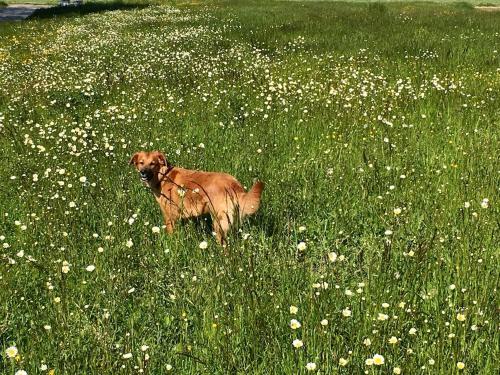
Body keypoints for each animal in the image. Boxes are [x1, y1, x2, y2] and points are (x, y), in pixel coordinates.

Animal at [129, 151, 264, 245]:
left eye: (153, 163)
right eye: (141, 162)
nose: (143, 173)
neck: (163, 176)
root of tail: (233, 184)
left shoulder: (170, 217)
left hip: (219, 222)